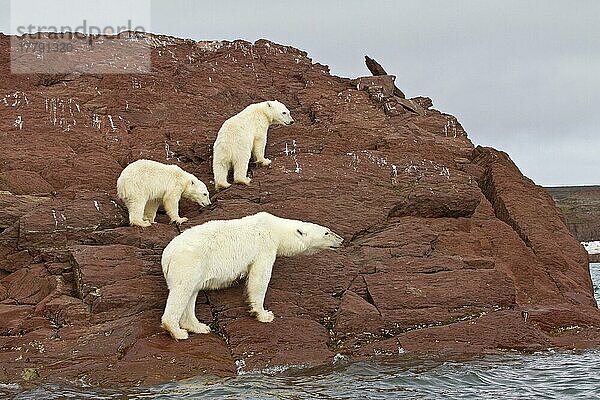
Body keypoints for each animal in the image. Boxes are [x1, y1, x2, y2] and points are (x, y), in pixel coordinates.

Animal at [161, 211, 342, 340]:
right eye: (327, 233)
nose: (341, 240)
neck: (275, 228)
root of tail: (166, 256)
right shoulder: (265, 246)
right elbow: (259, 278)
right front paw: (264, 314)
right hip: (188, 263)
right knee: (182, 292)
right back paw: (178, 332)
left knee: (192, 293)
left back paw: (199, 327)